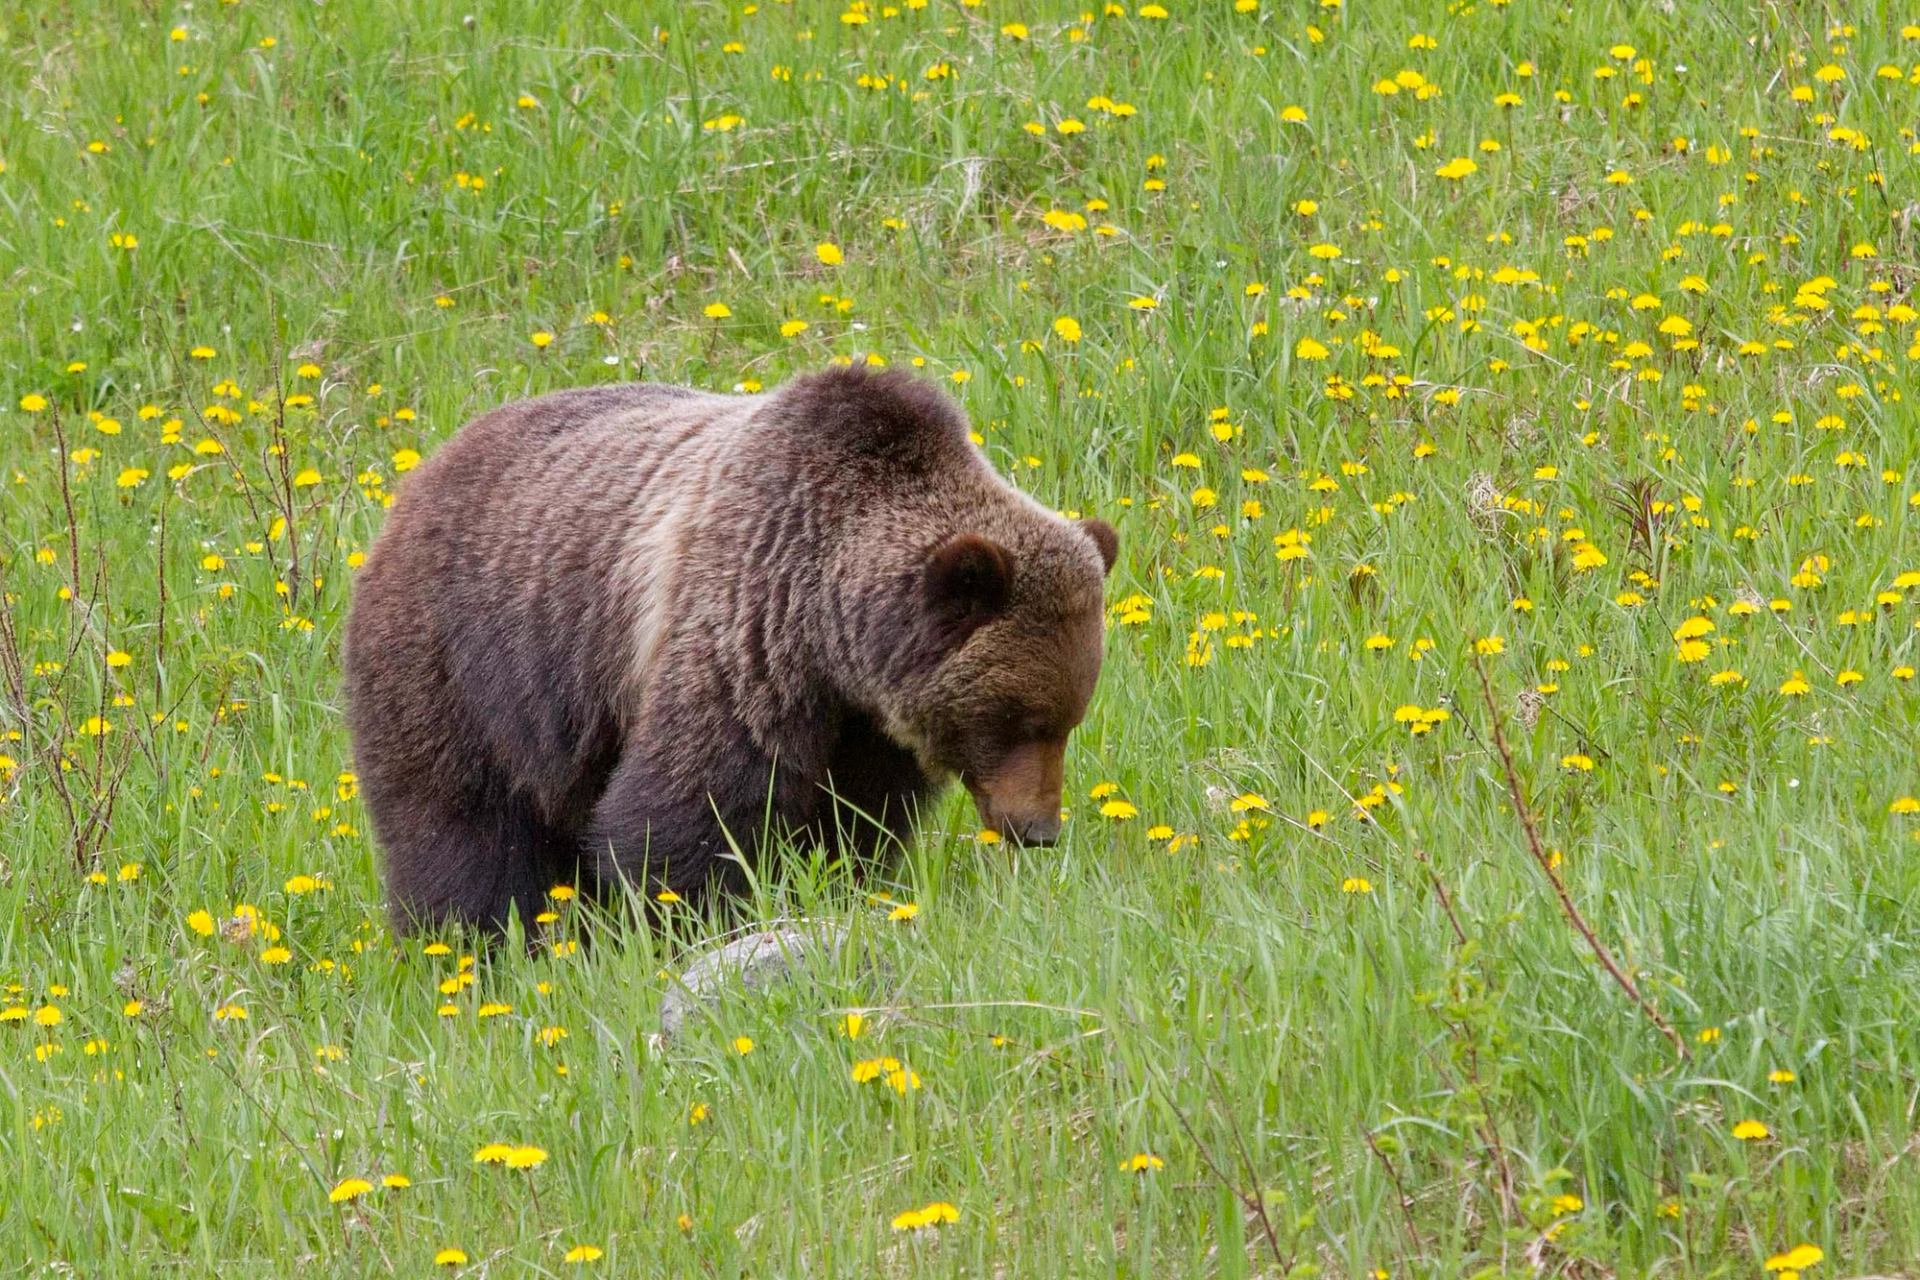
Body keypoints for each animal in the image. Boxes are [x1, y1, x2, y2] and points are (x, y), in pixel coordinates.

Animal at [349, 368, 1113, 932]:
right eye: (1018, 720)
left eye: (1070, 720)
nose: (1038, 829)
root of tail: (416, 480)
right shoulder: (742, 626)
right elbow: (693, 803)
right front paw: (691, 916)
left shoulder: (862, 723)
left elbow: (854, 818)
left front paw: (834, 882)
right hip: (469, 663)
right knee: (463, 826)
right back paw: (475, 942)